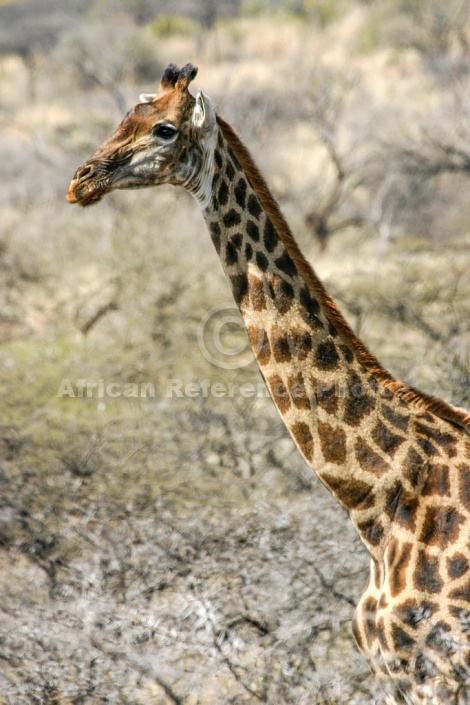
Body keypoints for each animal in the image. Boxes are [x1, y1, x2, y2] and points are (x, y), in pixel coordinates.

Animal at [68, 63, 470, 700]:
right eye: (123, 117)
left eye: (163, 129)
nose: (80, 182)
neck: (377, 500)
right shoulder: (394, 676)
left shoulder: (438, 670)